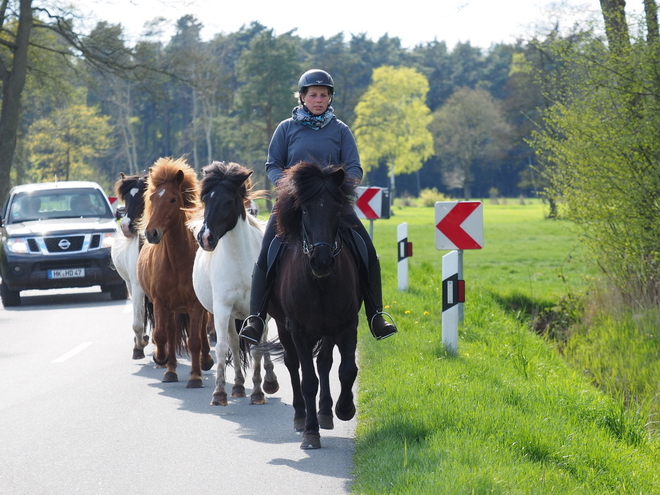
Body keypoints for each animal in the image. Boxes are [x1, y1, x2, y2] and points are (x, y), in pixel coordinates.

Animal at [137, 158, 214, 388]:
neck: (177, 262)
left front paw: (195, 376)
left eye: (172, 199)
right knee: (170, 334)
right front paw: (160, 358)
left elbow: (195, 340)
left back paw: (205, 360)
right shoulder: (160, 303)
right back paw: (170, 370)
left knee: (201, 331)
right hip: (171, 309)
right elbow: (162, 335)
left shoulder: (195, 305)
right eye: (152, 197)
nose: (151, 233)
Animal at [266, 161, 360, 452]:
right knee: (292, 364)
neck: (319, 282)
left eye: (335, 210)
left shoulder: (347, 325)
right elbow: (308, 380)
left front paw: (344, 409)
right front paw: (310, 432)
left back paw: (326, 413)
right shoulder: (299, 331)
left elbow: (347, 370)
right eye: (305, 210)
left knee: (325, 363)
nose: (322, 261)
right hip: (284, 328)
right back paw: (300, 416)